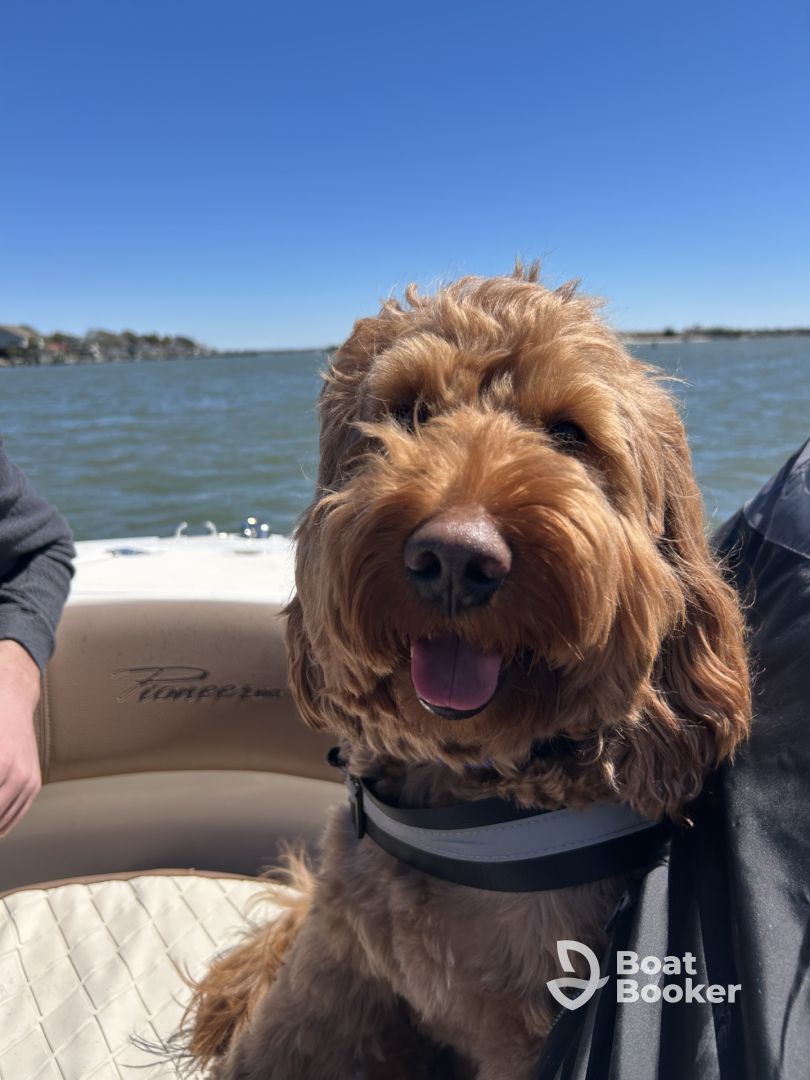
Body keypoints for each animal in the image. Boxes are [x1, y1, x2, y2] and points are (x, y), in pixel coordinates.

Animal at [183, 266, 750, 1079]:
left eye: (569, 433)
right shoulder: (332, 960)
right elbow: (284, 1040)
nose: (455, 558)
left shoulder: (526, 1033)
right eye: (410, 411)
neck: (456, 806)